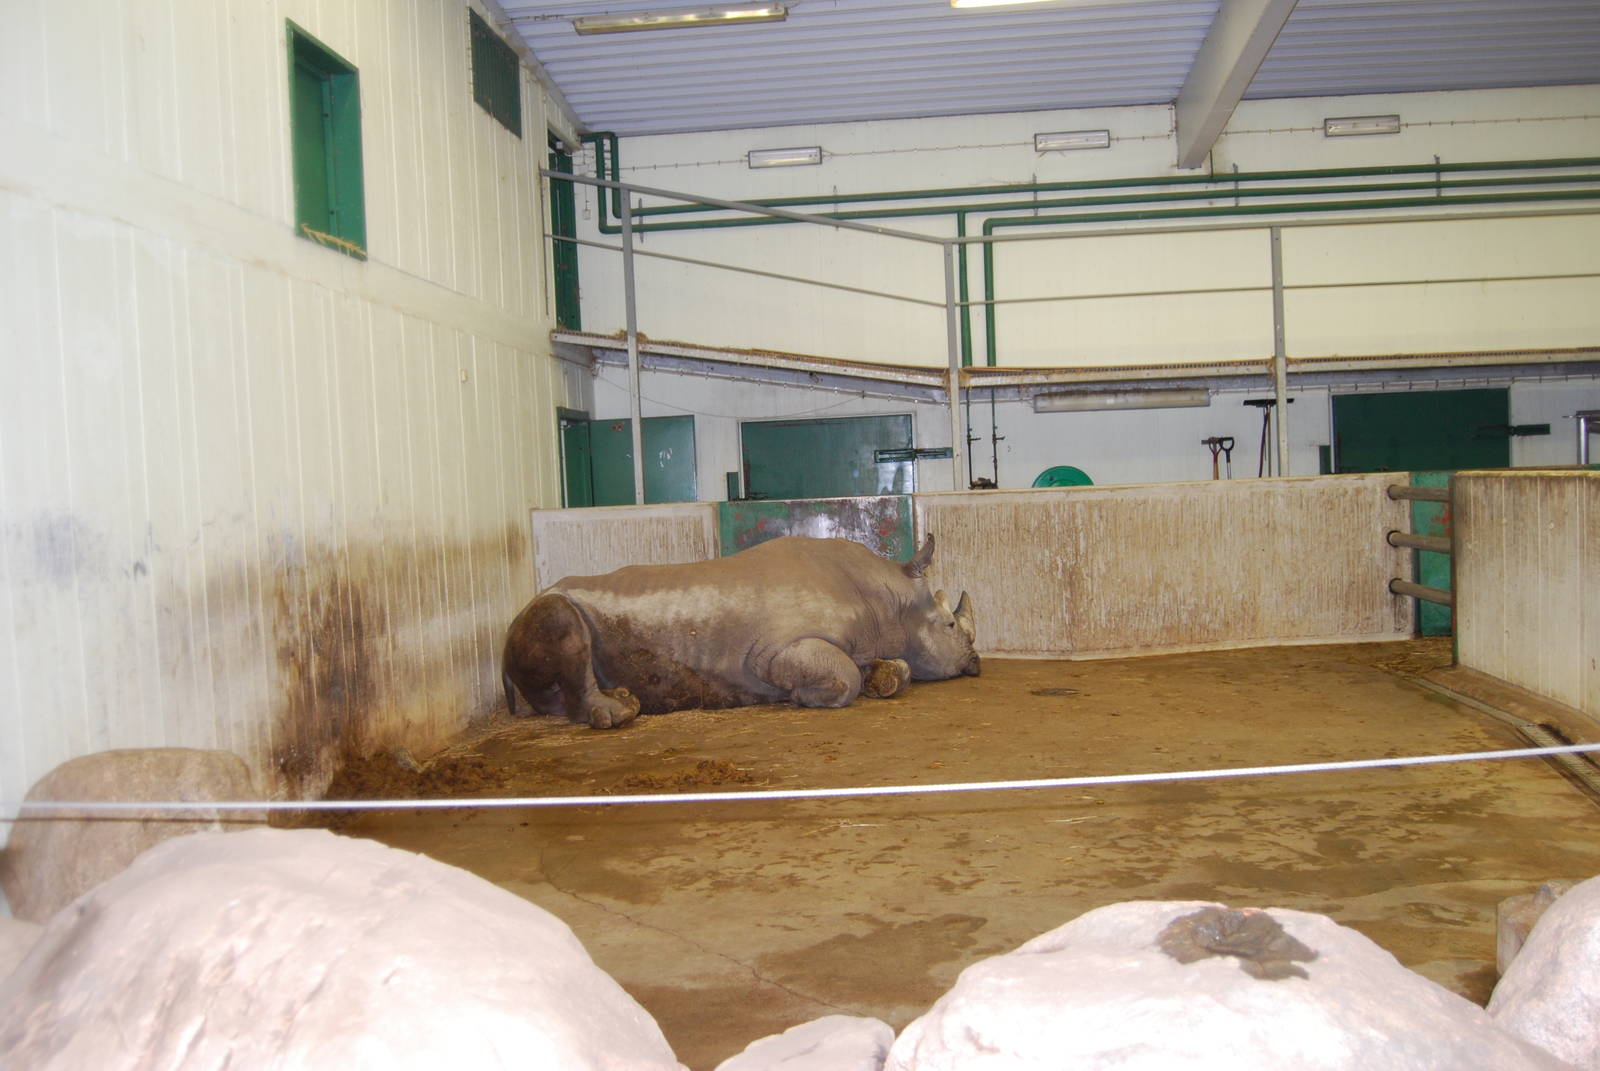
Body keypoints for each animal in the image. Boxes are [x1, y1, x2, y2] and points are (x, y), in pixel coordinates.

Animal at [502, 535, 979, 728]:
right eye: (950, 625)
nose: (974, 663)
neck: (889, 603)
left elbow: (894, 667)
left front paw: (882, 678)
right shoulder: (773, 653)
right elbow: (844, 675)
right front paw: (803, 698)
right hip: (544, 609)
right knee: (560, 617)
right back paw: (619, 714)